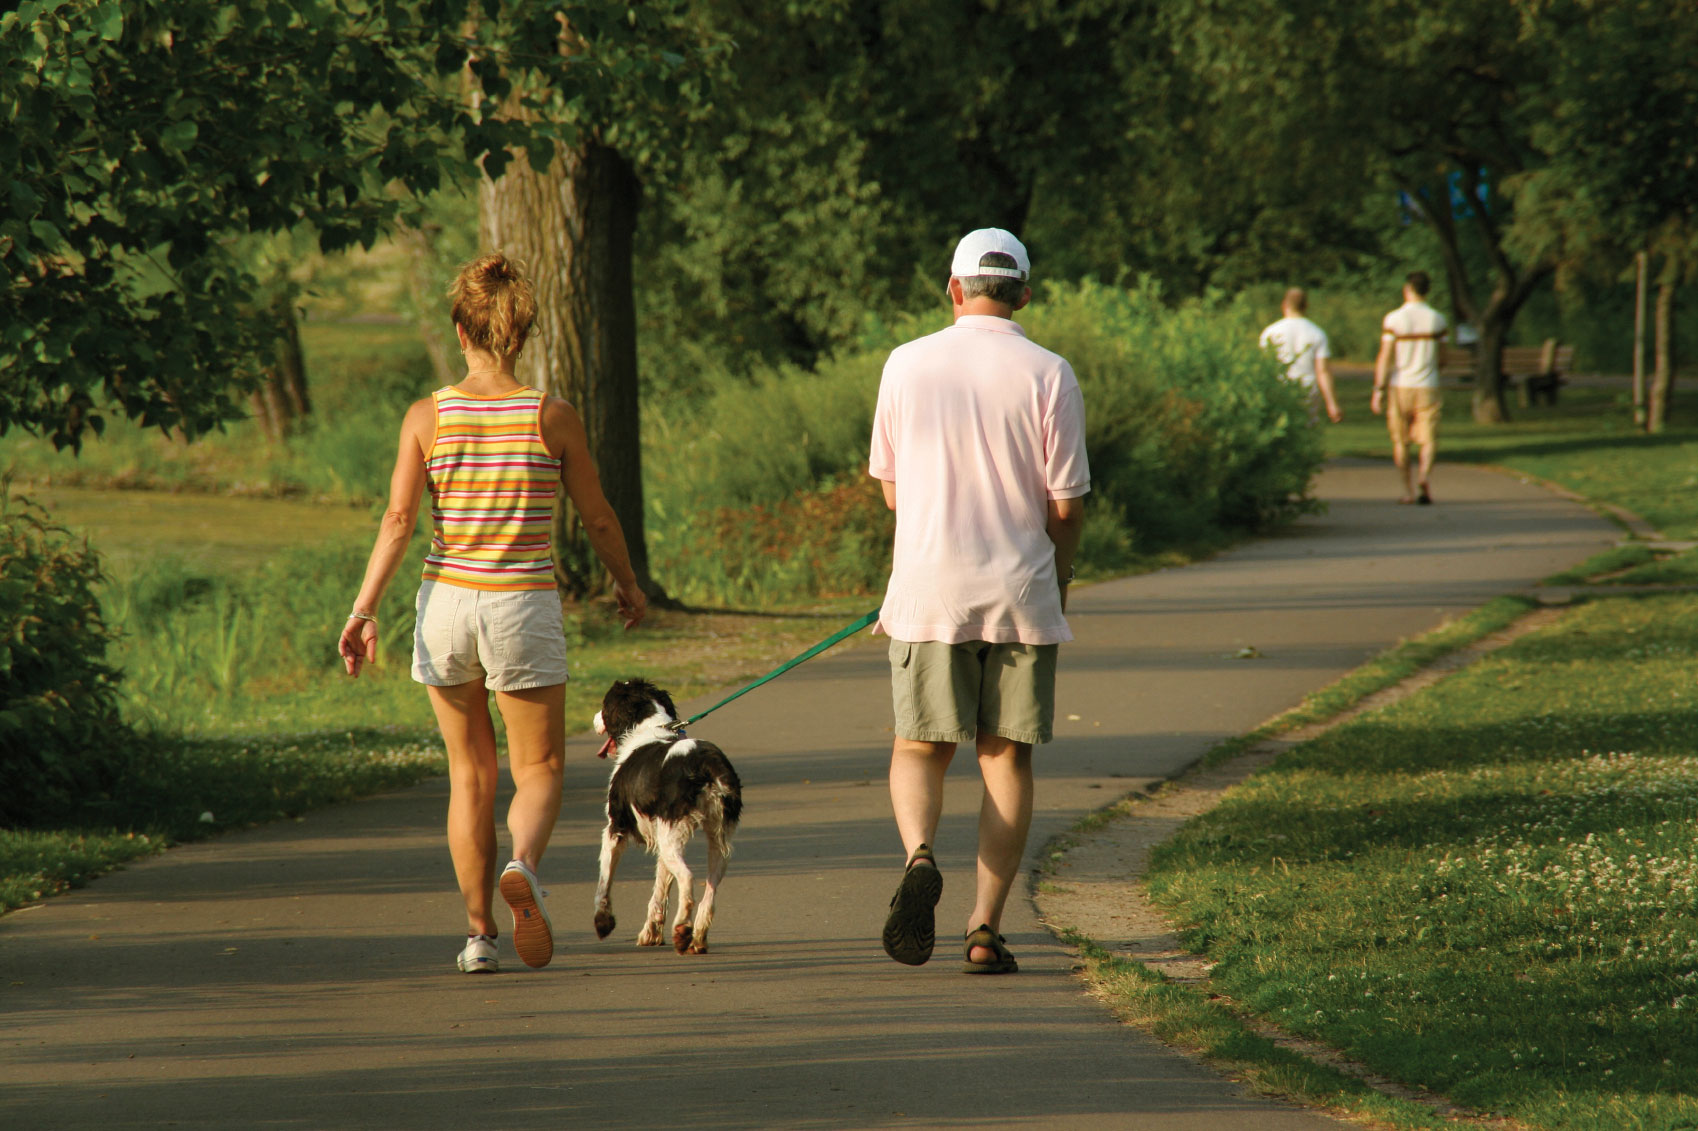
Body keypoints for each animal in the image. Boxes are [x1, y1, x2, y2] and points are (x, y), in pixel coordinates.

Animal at [590, 679, 743, 950]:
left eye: (605, 704)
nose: (594, 718)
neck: (650, 727)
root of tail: (706, 763)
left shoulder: (615, 829)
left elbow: (604, 881)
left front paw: (603, 922)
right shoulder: (661, 837)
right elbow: (660, 891)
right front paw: (651, 933)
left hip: (673, 838)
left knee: (689, 880)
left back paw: (683, 929)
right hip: (716, 840)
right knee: (710, 891)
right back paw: (697, 938)